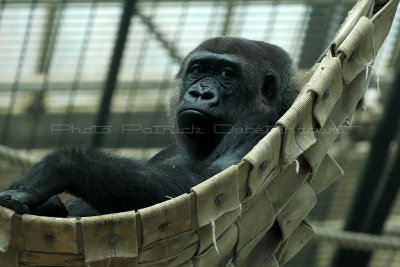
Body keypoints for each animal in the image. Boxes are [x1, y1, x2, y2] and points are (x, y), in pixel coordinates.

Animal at [0, 37, 296, 218]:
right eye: (198, 70)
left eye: (226, 74)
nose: (200, 93)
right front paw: (48, 205)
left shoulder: (258, 125)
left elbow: (214, 187)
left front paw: (60, 166)